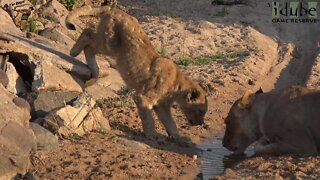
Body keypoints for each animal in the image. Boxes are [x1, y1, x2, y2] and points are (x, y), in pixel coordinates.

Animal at [66, 5, 209, 143]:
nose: (200, 123)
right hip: (109, 43)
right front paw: (153, 136)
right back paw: (74, 52)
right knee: (88, 32)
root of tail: (113, 9)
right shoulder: (144, 98)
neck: (177, 85)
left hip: (108, 45)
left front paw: (179, 138)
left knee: (89, 46)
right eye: (201, 111)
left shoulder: (162, 106)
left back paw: (94, 73)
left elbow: (170, 123)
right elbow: (149, 119)